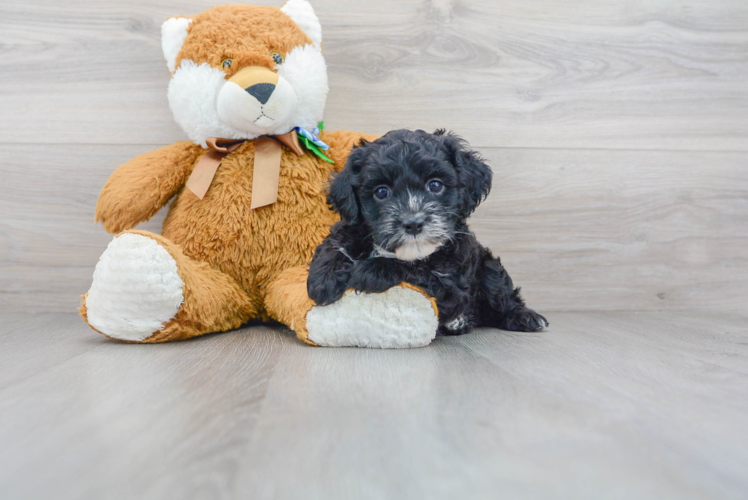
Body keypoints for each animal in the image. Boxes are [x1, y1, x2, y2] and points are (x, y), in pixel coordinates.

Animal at [306, 129, 548, 336]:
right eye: (381, 192)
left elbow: (417, 268)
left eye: (435, 185)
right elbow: (334, 243)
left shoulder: (451, 283)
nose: (413, 223)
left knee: (502, 295)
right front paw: (323, 278)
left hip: (489, 268)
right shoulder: (352, 228)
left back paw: (525, 317)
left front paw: (372, 269)